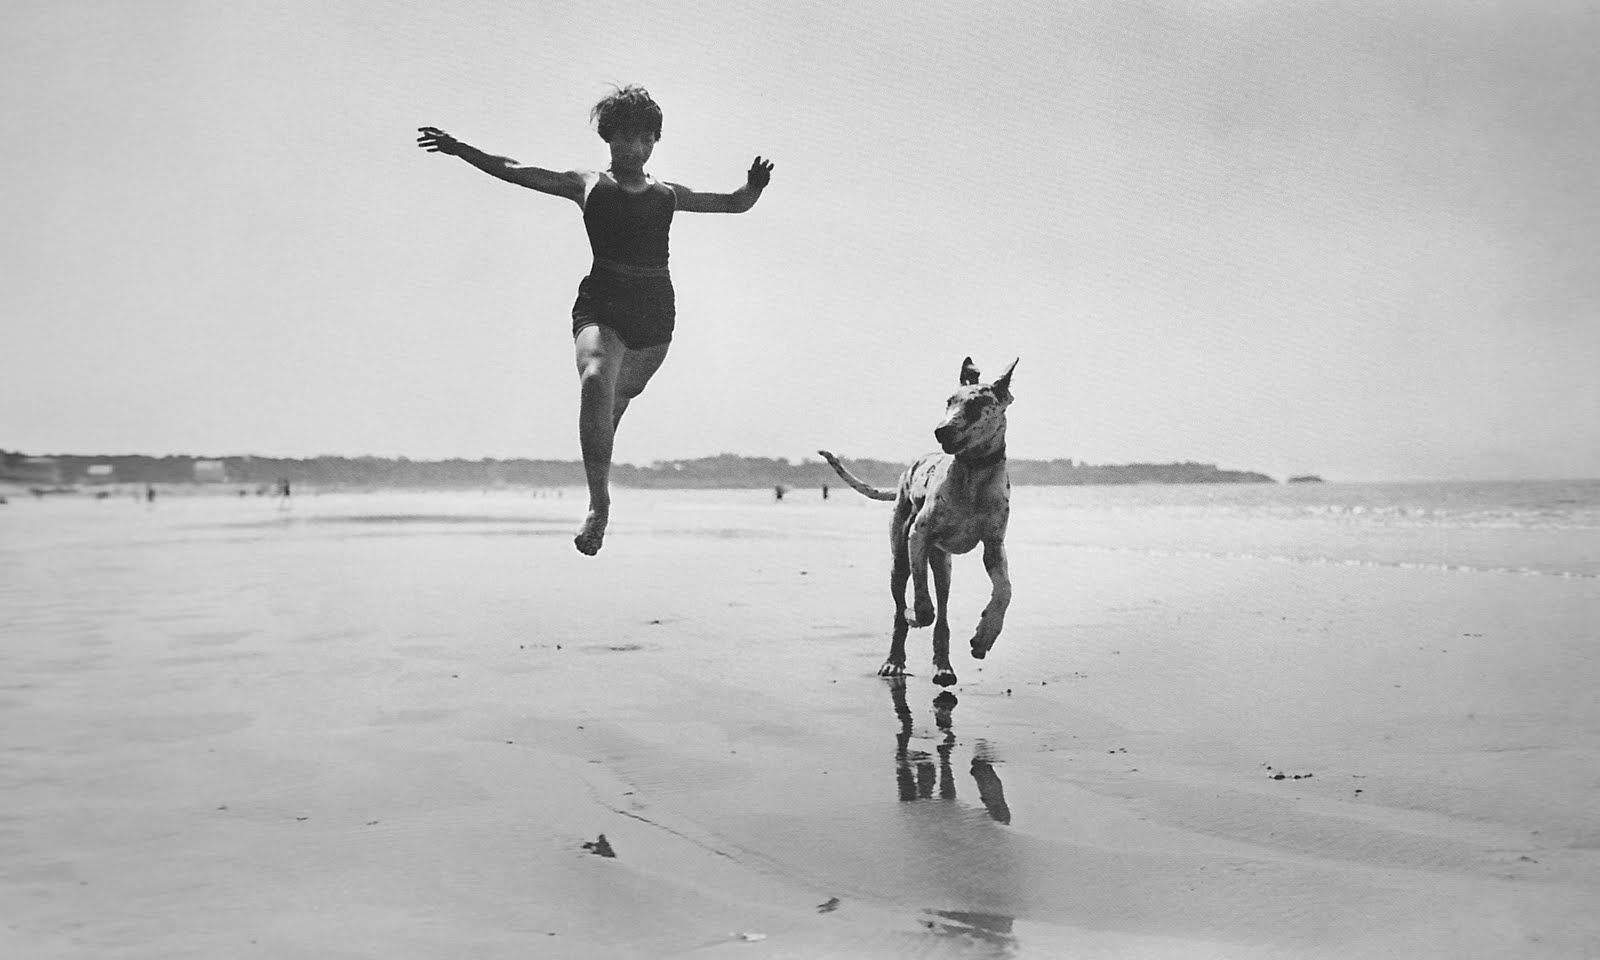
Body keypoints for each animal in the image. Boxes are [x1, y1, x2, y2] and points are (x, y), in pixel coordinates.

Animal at [819, 356, 1017, 684]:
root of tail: (903, 474)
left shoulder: (994, 547)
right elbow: (922, 606)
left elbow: (1005, 591)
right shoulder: (918, 536)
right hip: (900, 560)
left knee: (943, 615)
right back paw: (894, 660)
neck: (973, 473)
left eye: (977, 405)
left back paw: (943, 665)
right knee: (902, 609)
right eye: (949, 401)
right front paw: (915, 615)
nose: (941, 431)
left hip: (944, 566)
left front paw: (985, 635)